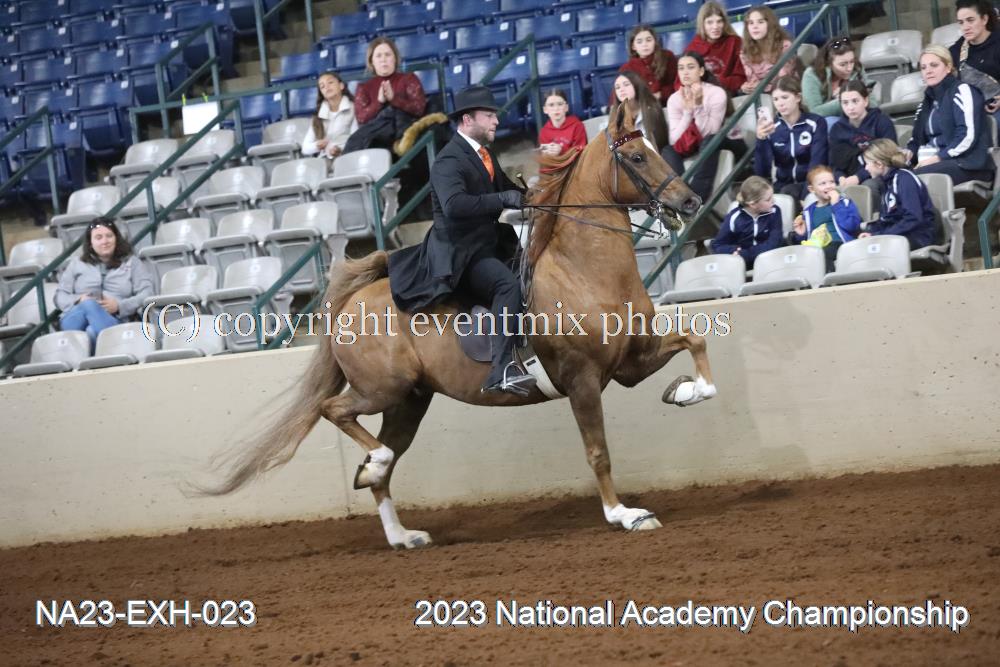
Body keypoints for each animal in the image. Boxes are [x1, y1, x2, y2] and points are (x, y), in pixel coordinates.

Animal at [206, 102, 718, 549]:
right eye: (637, 156)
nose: (690, 200)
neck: (584, 269)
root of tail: (351, 302)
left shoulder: (630, 362)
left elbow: (694, 341)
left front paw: (684, 391)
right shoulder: (583, 379)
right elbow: (599, 451)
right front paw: (624, 515)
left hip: (409, 402)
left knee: (383, 463)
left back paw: (400, 531)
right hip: (382, 389)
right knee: (338, 413)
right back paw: (373, 466)